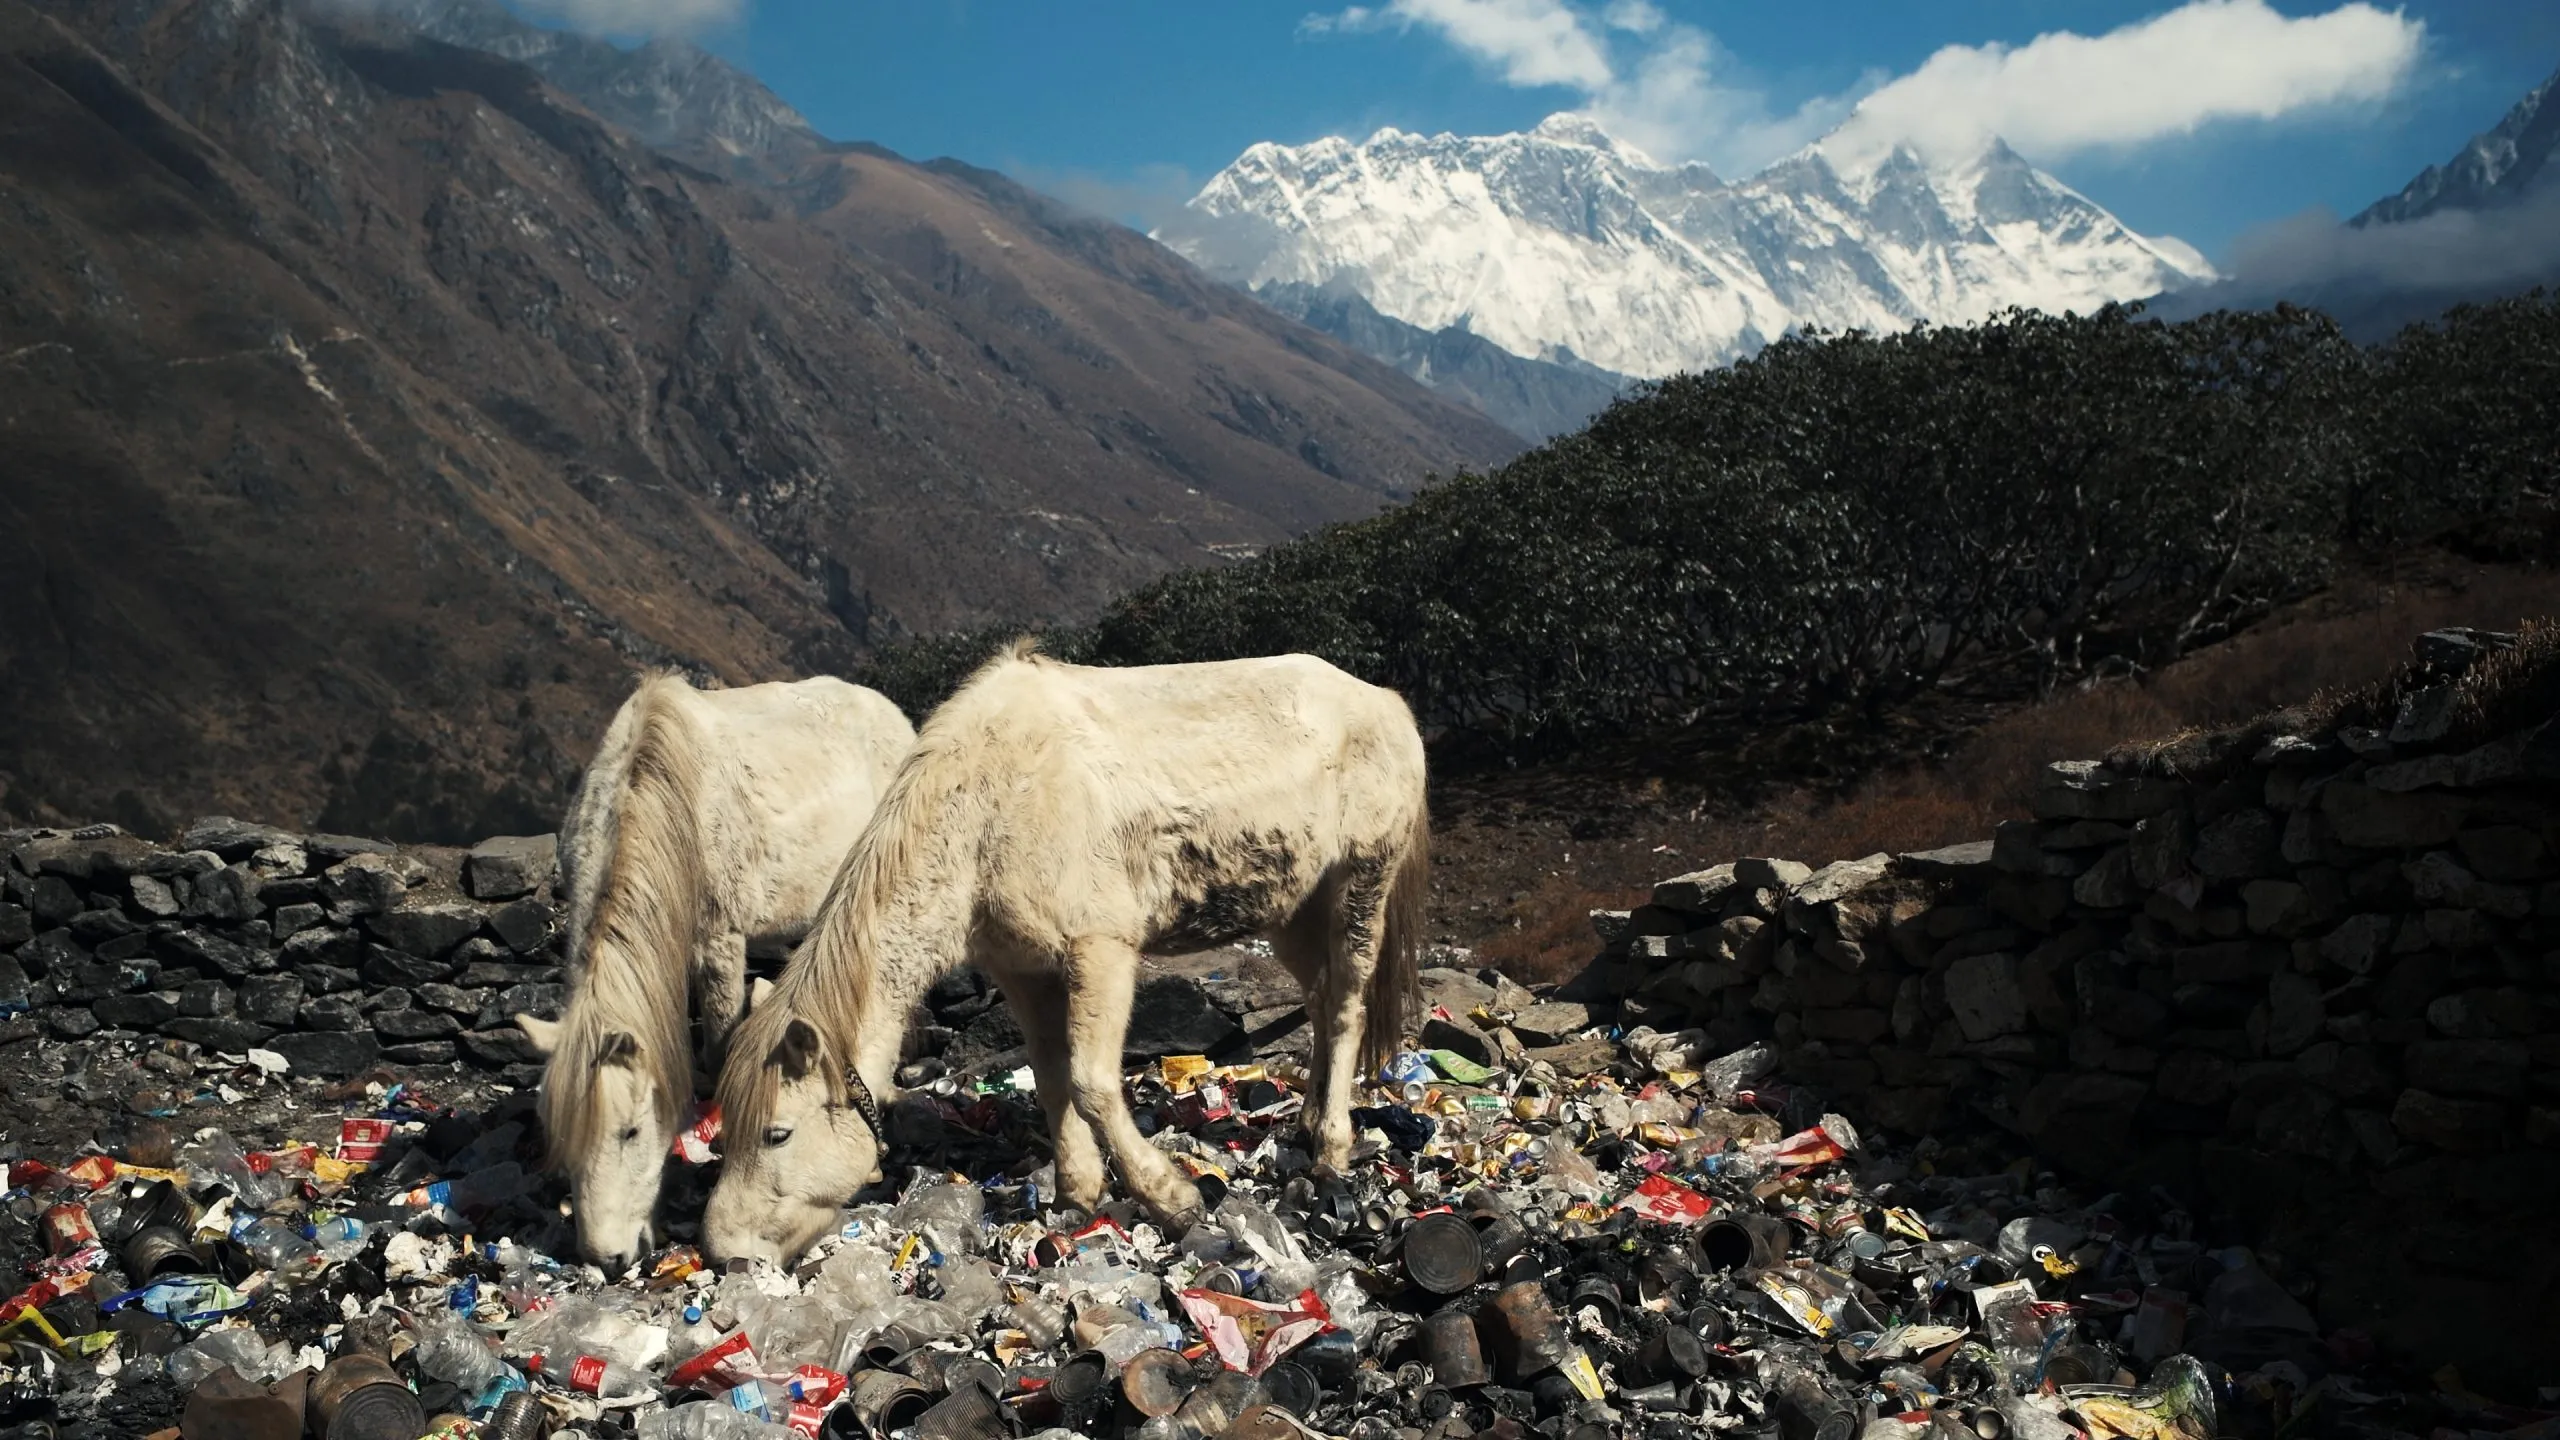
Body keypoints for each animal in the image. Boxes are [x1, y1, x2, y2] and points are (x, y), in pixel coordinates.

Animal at [702, 641, 1430, 1264]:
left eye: (776, 1133)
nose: (724, 1252)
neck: (987, 810)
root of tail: (1385, 702)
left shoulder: (1099, 951)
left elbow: (1091, 1082)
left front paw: (1171, 1197)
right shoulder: (1023, 970)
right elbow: (1052, 1078)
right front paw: (1077, 1194)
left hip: (1360, 884)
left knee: (1346, 1007)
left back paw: (1331, 1144)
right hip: (1292, 911)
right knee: (1321, 999)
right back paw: (1305, 1121)